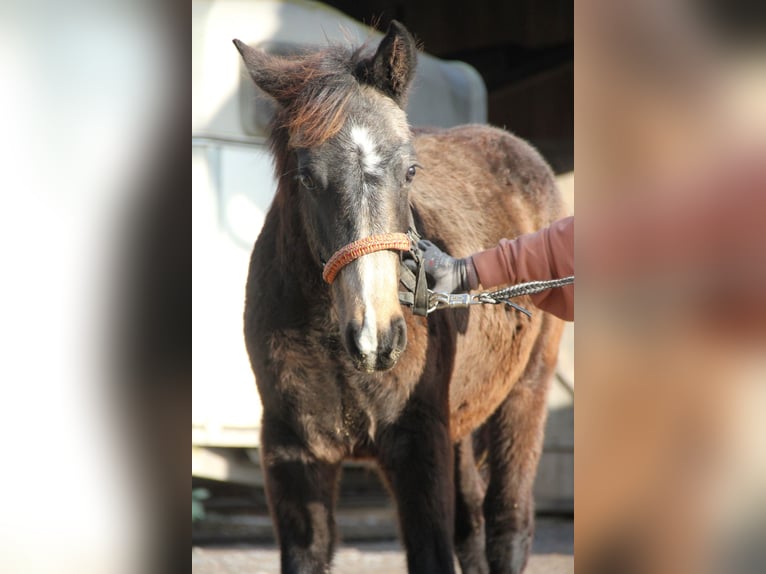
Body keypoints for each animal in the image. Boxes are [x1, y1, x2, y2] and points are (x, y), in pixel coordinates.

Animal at [237, 20, 568, 572]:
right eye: (306, 177)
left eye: (411, 171)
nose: (377, 338)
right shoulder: (293, 453)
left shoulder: (417, 450)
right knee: (471, 527)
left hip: (525, 394)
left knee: (508, 525)